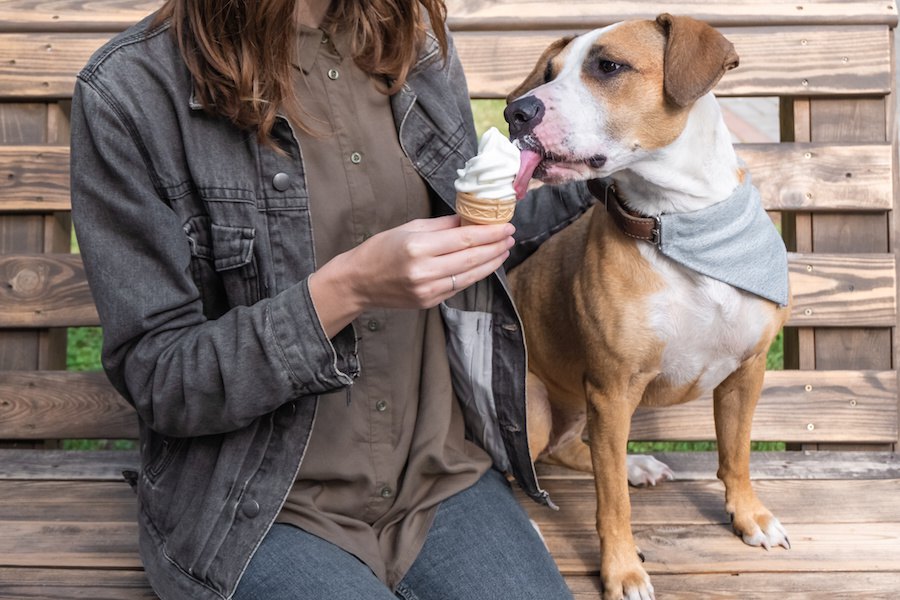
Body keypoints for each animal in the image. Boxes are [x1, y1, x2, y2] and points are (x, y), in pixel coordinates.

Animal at [506, 14, 796, 600]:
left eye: (608, 66)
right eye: (548, 73)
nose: (516, 111)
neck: (679, 222)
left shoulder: (747, 371)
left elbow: (736, 455)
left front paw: (749, 516)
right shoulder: (613, 389)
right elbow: (610, 501)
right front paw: (622, 570)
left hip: (579, 409)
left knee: (571, 451)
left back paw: (635, 463)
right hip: (538, 408)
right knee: (513, 463)